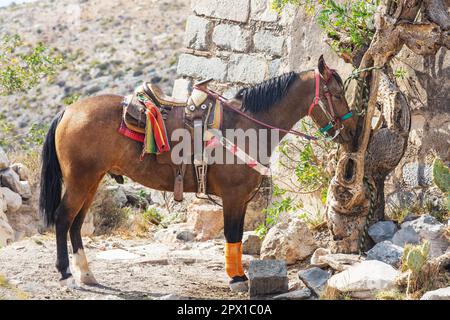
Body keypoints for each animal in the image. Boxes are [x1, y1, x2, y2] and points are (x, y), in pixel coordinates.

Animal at [37, 56, 356, 292]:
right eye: (337, 93)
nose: (350, 132)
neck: (247, 126)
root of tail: (67, 111)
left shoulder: (240, 199)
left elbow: (237, 236)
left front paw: (239, 276)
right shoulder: (233, 196)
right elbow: (231, 234)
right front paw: (237, 279)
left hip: (92, 180)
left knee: (77, 224)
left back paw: (86, 274)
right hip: (80, 180)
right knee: (63, 219)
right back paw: (66, 275)